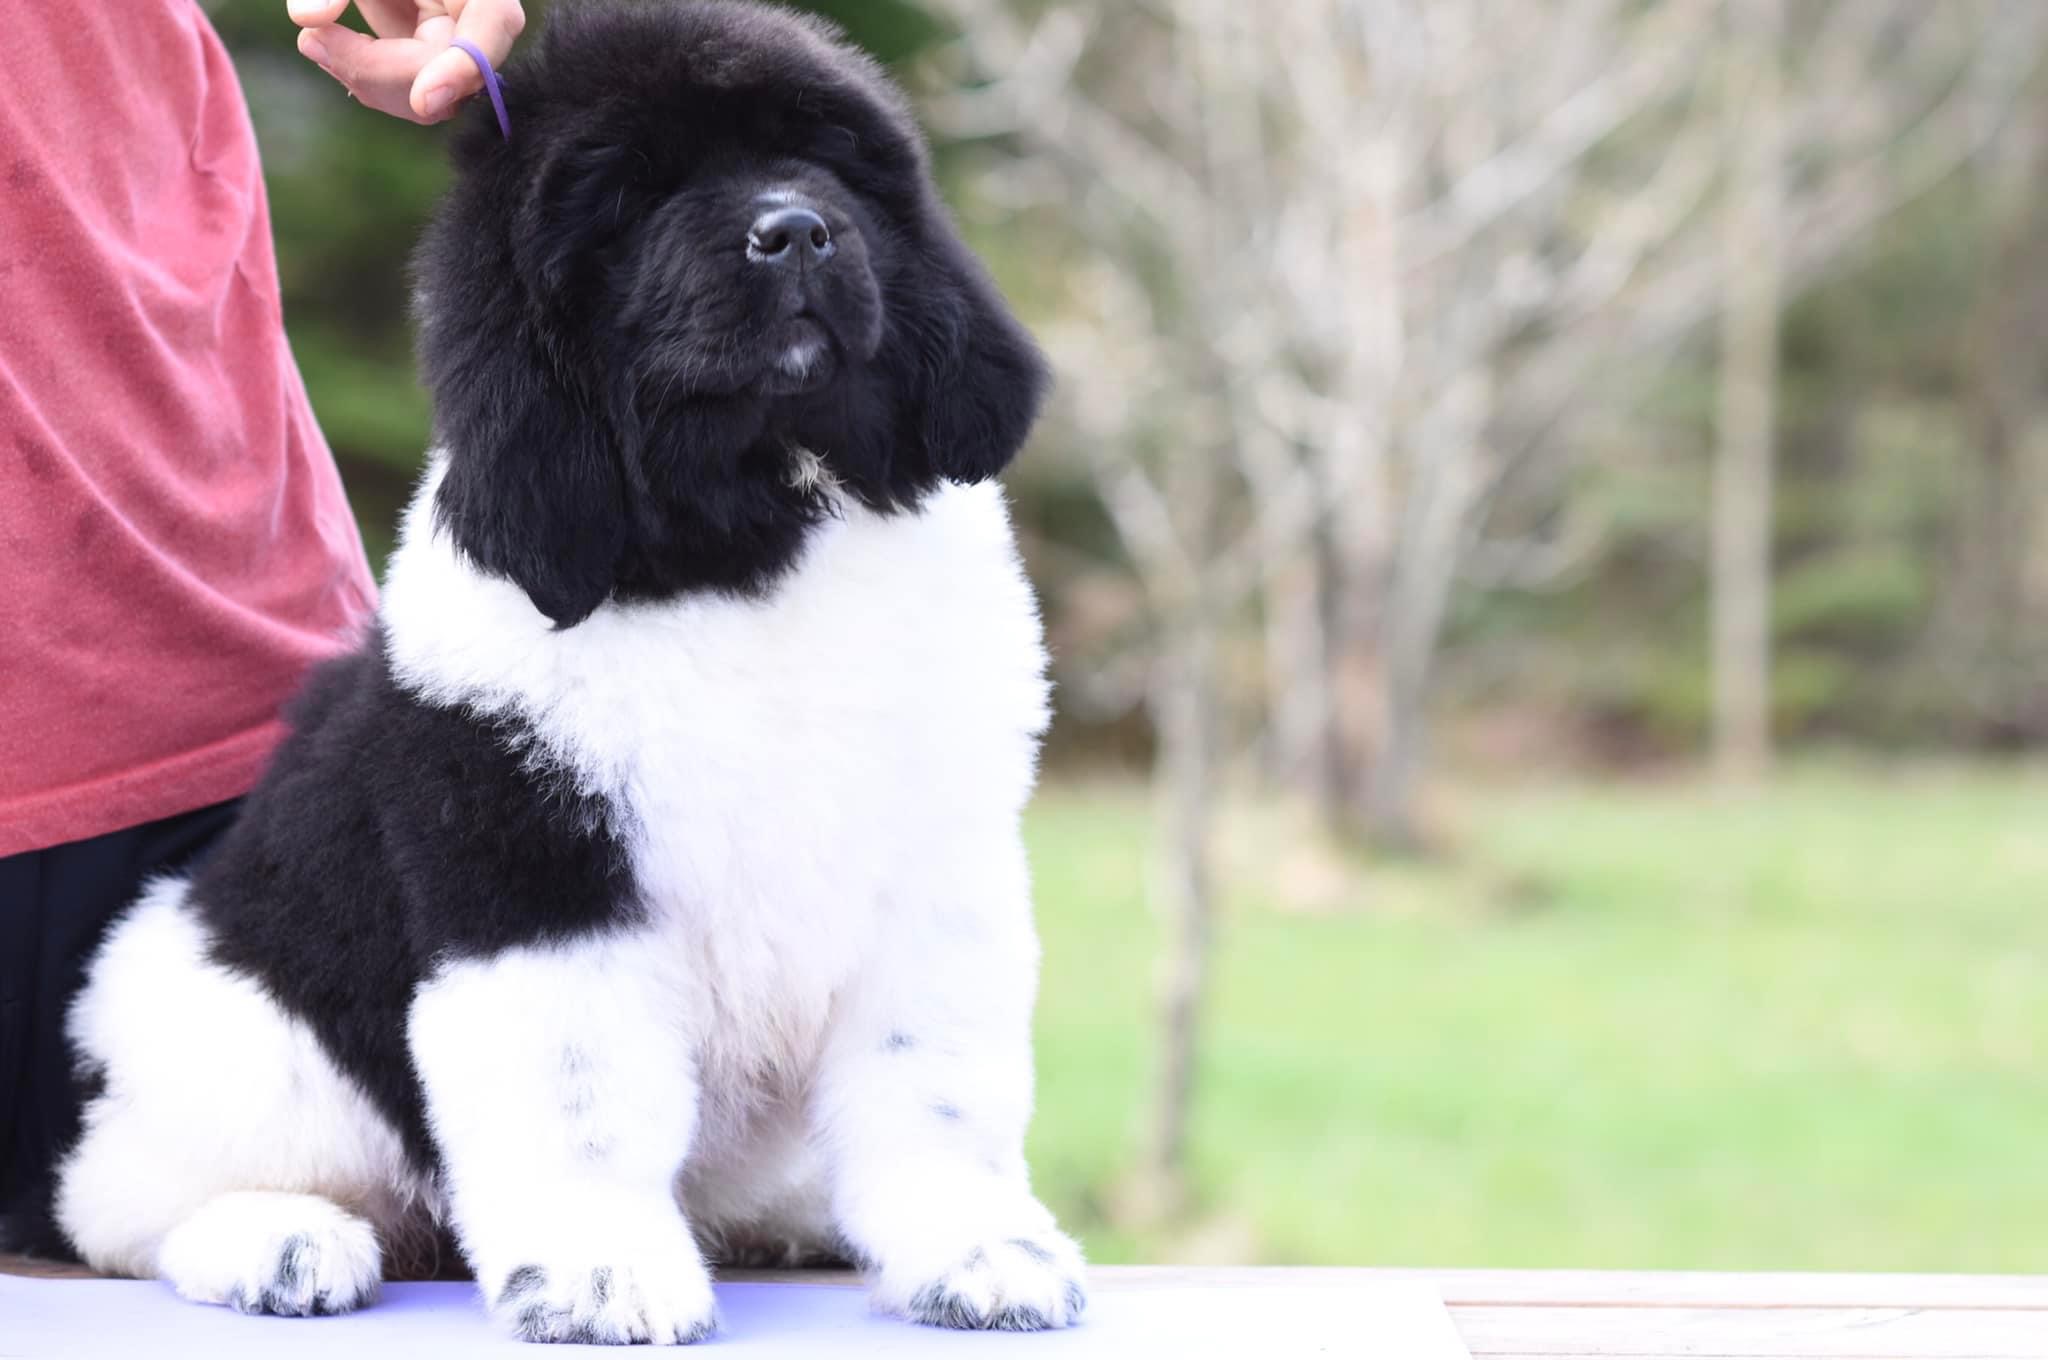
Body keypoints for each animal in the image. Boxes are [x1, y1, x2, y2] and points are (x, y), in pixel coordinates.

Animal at [49, 0, 1084, 1342]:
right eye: (633, 200)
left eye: (822, 159)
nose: (796, 230)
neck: (747, 528)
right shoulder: (535, 874)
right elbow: (582, 1093)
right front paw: (601, 1275)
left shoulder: (936, 869)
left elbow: (935, 1083)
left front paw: (979, 1250)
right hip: (236, 1033)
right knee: (123, 1206)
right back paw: (277, 1238)